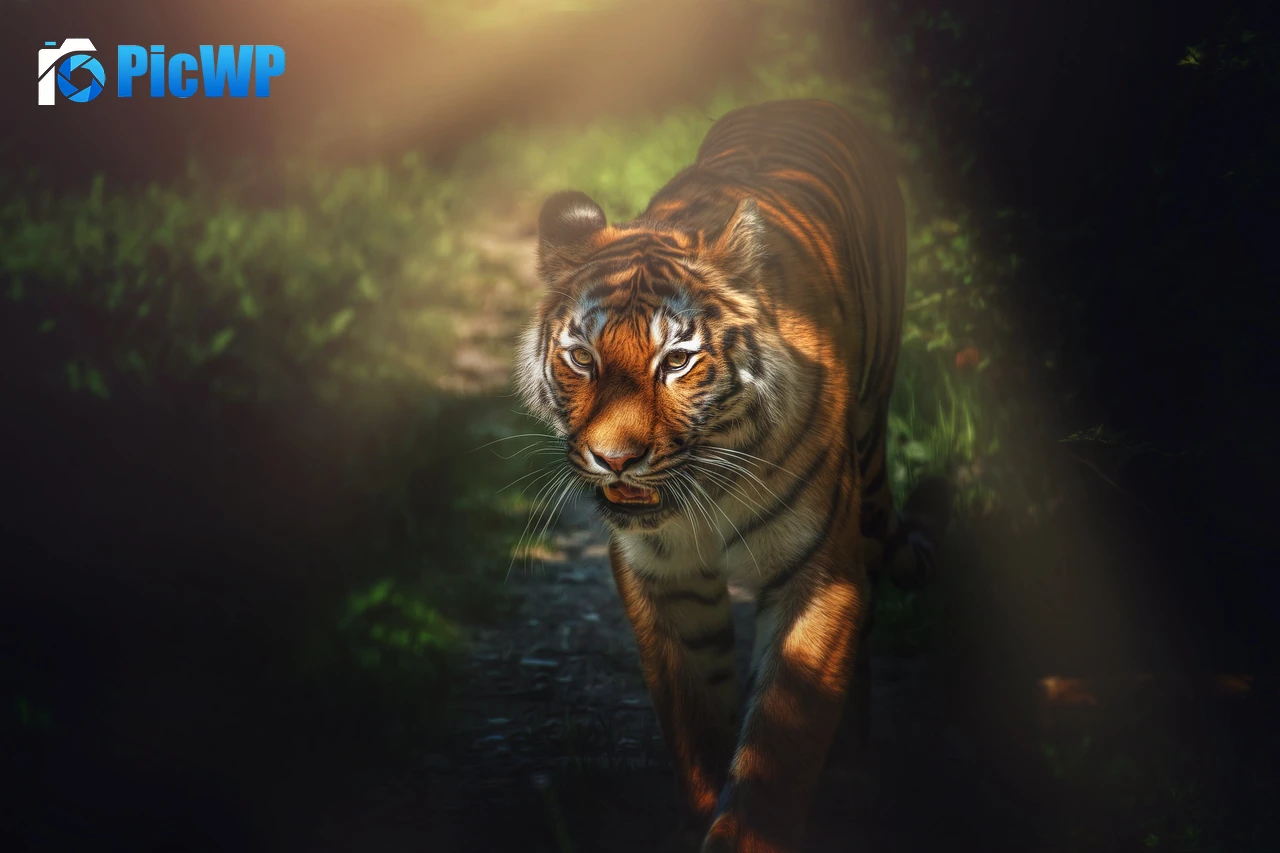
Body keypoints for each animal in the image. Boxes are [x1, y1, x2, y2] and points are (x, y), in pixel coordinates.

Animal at [516, 99, 952, 852]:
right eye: (582, 359)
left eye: (676, 362)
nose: (614, 459)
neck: (707, 489)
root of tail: (802, 100)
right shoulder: (661, 576)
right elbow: (694, 722)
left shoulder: (818, 572)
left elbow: (780, 747)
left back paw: (854, 776)